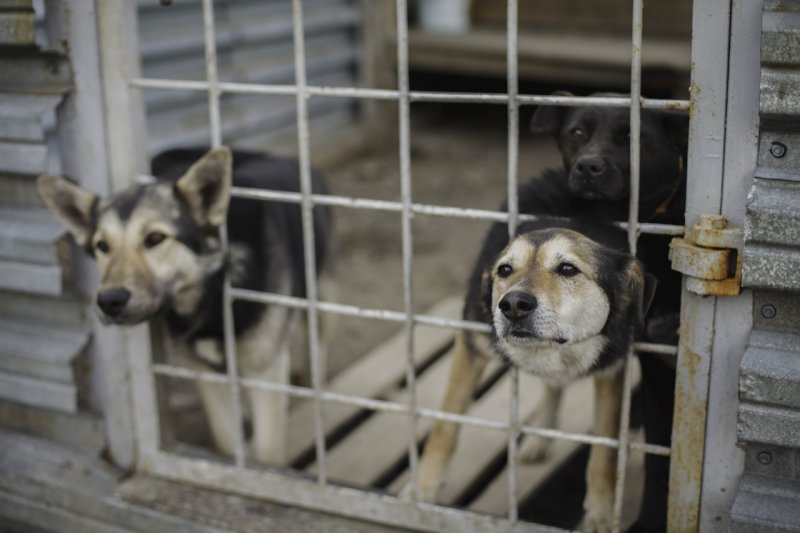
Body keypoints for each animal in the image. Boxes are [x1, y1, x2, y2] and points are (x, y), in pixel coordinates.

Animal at [36, 145, 332, 462]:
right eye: (102, 246)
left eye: (155, 238)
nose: (109, 301)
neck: (214, 294)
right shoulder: (206, 374)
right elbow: (226, 441)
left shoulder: (266, 370)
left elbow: (267, 451)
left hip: (321, 297)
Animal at [412, 215, 656, 528]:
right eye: (504, 270)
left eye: (568, 268)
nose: (513, 305)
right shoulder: (472, 344)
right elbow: (446, 424)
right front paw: (421, 490)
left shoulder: (611, 368)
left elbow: (603, 452)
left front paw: (599, 515)